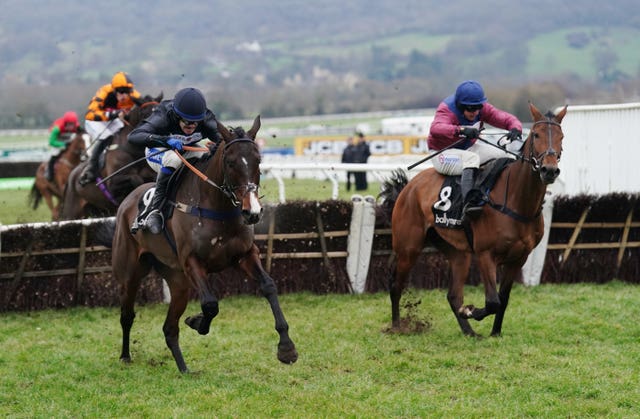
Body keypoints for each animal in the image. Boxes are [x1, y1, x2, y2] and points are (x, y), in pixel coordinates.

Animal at [110, 115, 300, 374]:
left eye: (258, 160)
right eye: (230, 162)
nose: (252, 212)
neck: (218, 207)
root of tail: (127, 200)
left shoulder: (245, 254)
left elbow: (269, 286)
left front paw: (287, 348)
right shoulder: (192, 261)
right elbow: (210, 304)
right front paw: (197, 321)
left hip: (178, 281)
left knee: (169, 328)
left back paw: (184, 369)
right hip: (130, 273)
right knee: (127, 315)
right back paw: (125, 356)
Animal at [378, 104, 568, 338]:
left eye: (561, 136)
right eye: (536, 134)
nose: (549, 170)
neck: (517, 202)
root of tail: (408, 187)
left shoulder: (519, 258)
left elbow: (503, 299)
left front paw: (495, 333)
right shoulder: (486, 254)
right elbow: (493, 301)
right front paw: (471, 311)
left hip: (459, 253)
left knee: (453, 295)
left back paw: (469, 332)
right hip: (408, 247)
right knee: (396, 285)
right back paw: (397, 326)